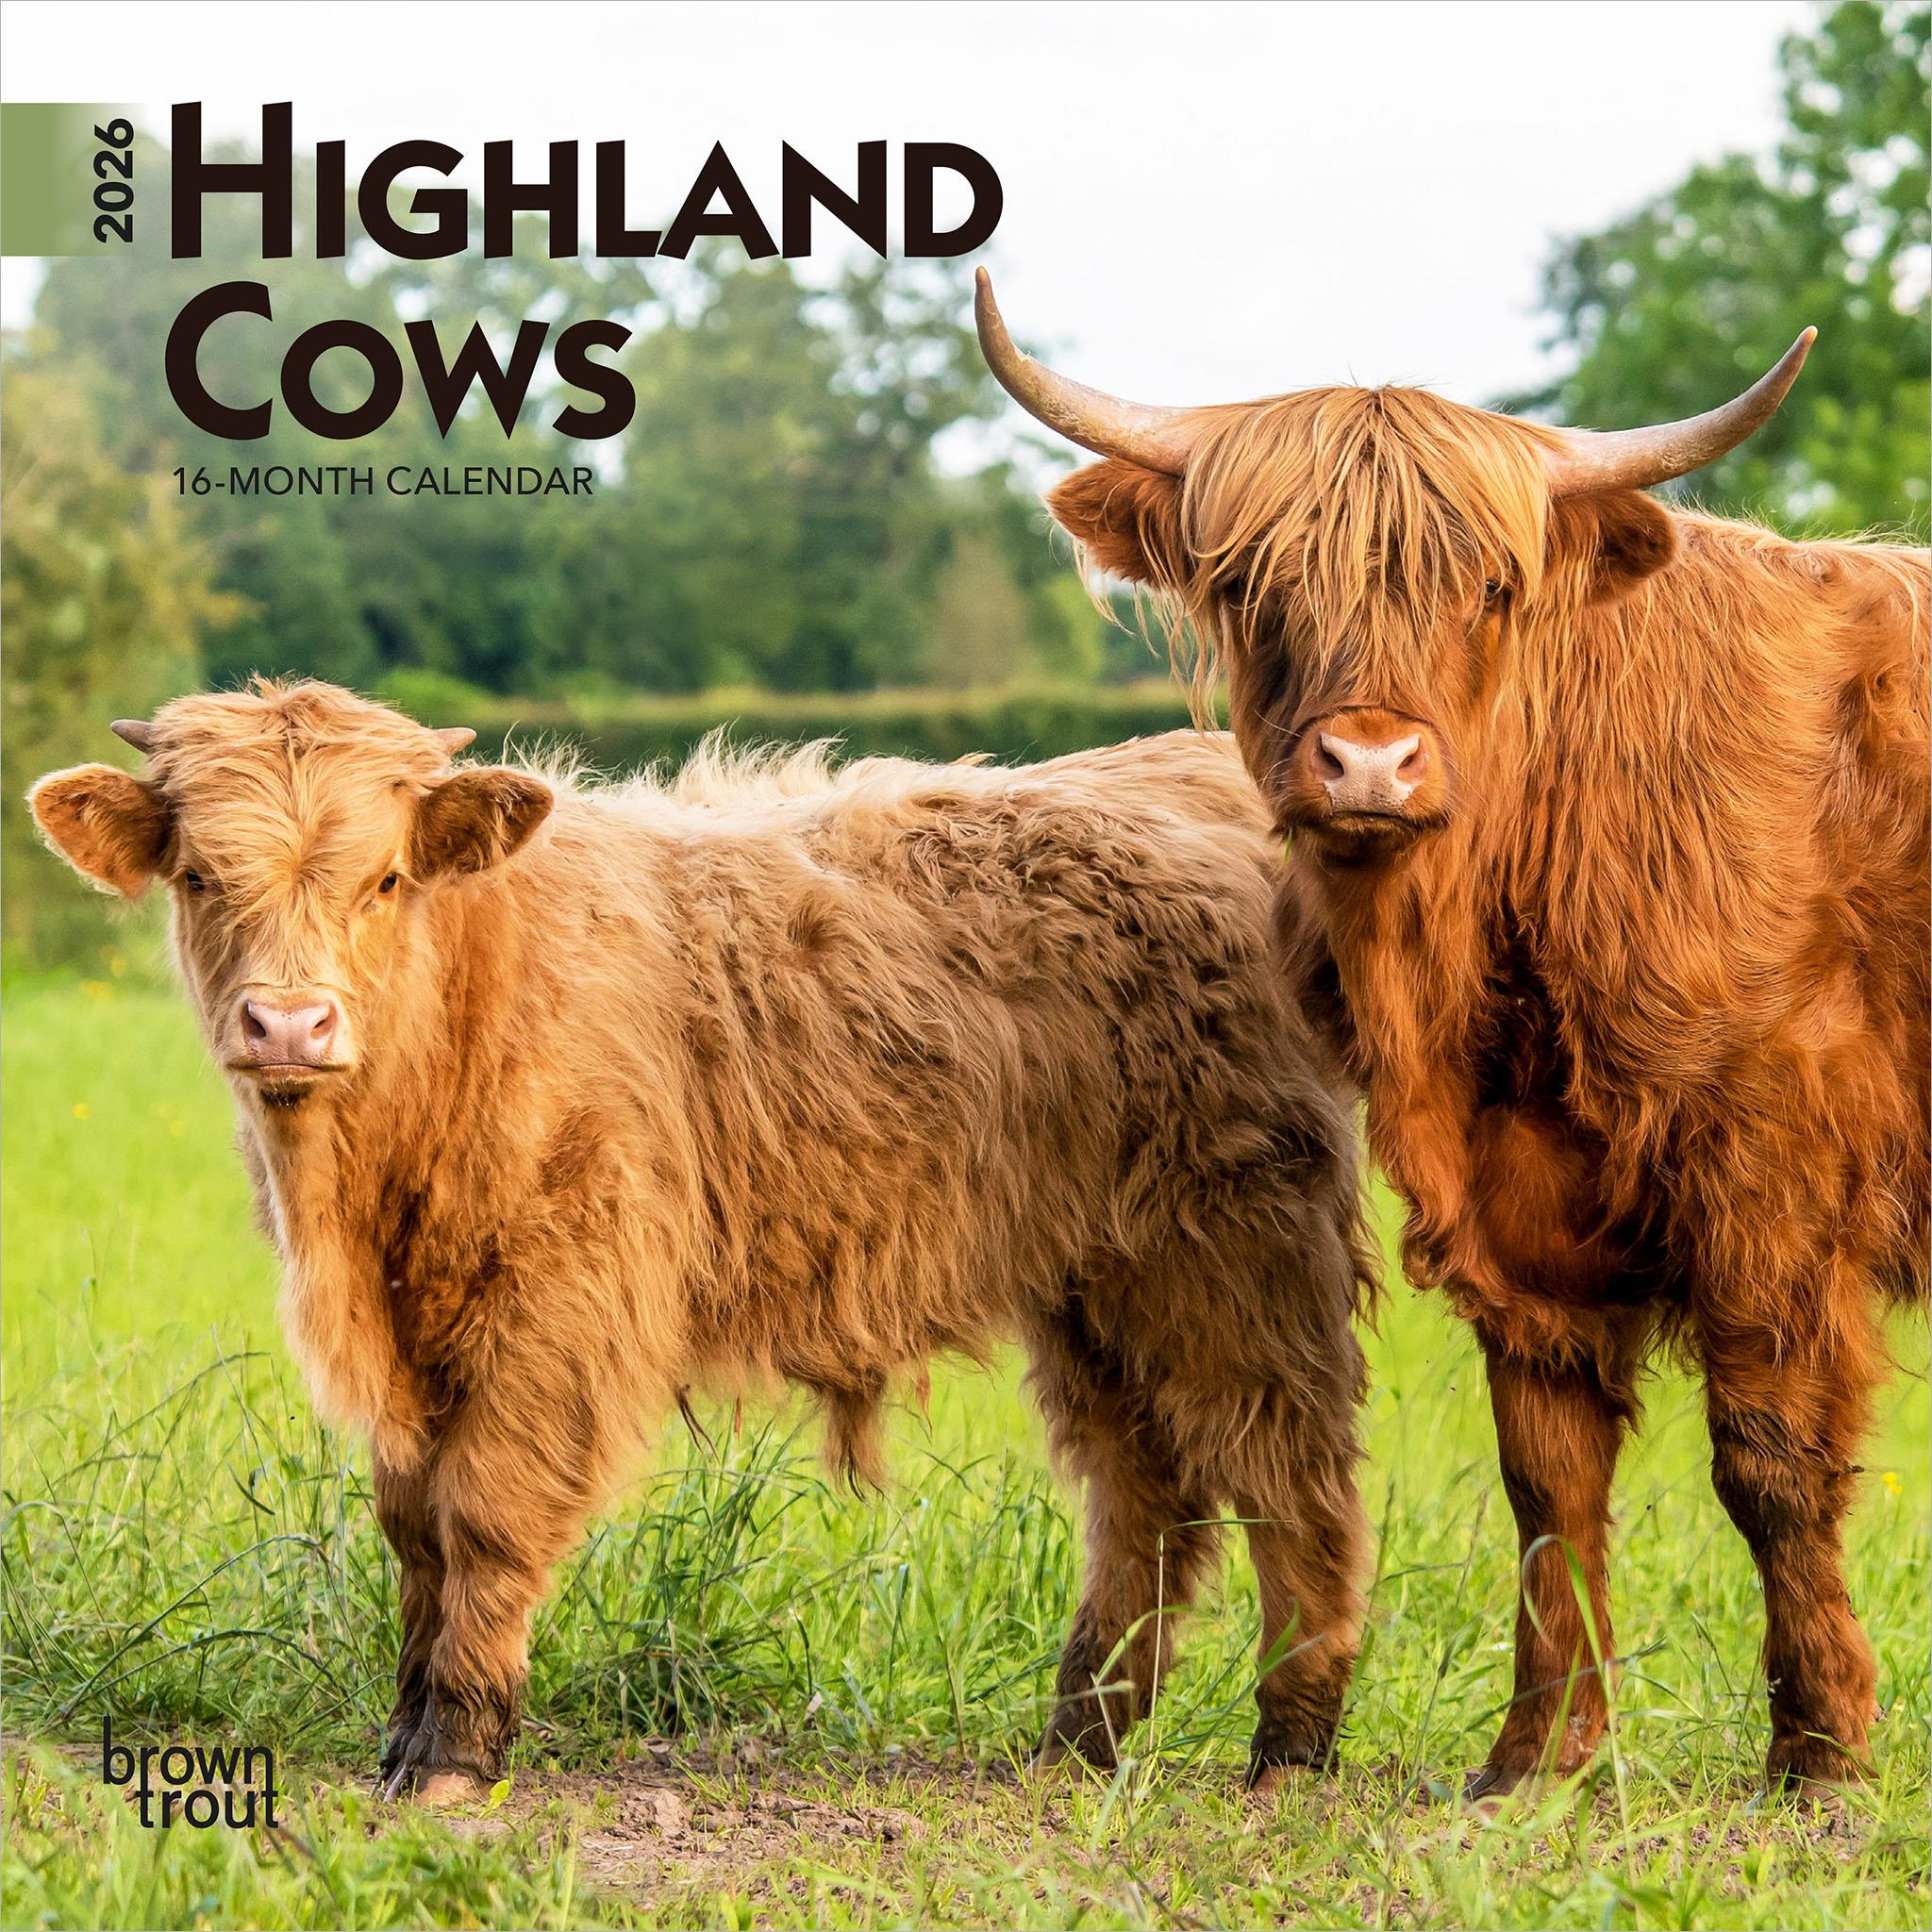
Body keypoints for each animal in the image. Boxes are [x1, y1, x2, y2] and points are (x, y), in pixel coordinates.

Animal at [30, 680, 1375, 1802]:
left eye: (386, 880)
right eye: (199, 876)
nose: (289, 1022)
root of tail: (1181, 767)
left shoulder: (554, 1313)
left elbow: (485, 1513)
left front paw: (458, 1747)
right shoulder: (415, 1343)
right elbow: (413, 1524)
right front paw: (404, 1732)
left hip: (1240, 1251)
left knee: (1293, 1478)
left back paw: (1287, 1748)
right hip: (1096, 1279)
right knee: (1141, 1492)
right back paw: (1077, 1737)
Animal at [975, 269, 1929, 1795]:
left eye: (1485, 587)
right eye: (1251, 584)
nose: (1368, 762)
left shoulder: (1769, 1175)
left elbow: (1769, 1459)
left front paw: (1820, 1749)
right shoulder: (1518, 1200)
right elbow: (1547, 1479)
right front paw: (1535, 1758)